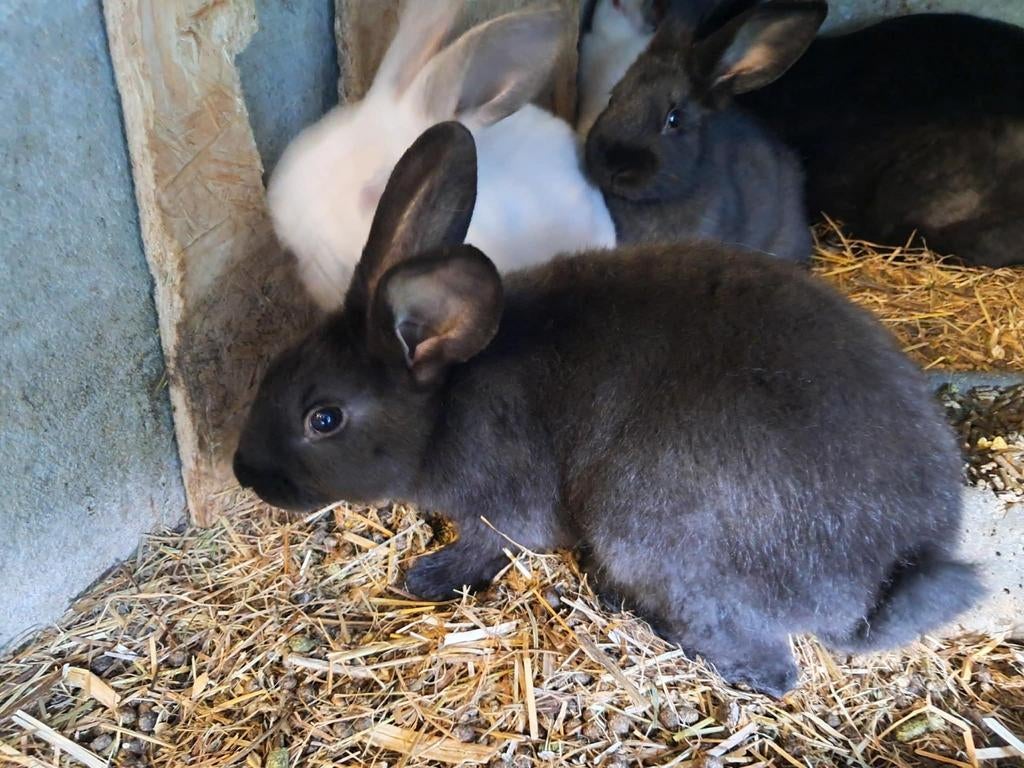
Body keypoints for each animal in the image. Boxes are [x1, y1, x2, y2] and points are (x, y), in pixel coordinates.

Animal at [235, 122, 982, 698]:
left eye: (324, 418)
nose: (246, 472)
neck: (445, 403)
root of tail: (897, 567)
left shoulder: (505, 500)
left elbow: (493, 541)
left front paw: (428, 576)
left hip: (644, 524)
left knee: (769, 663)